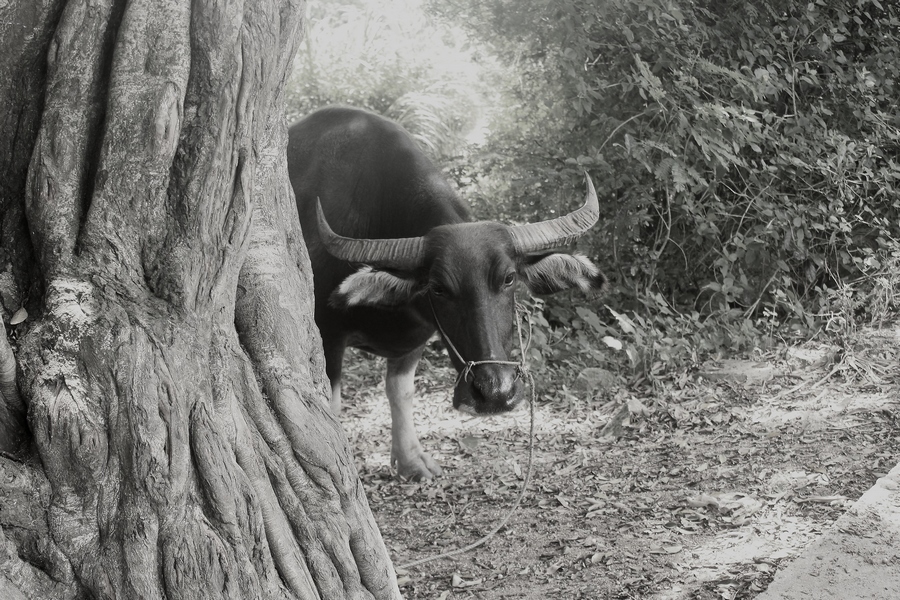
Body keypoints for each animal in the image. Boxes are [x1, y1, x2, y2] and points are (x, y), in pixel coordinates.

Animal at [288, 108, 604, 480]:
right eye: (439, 288)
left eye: (509, 278)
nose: (495, 392)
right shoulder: (328, 336)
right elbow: (330, 408)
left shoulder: (416, 340)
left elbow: (400, 391)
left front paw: (411, 461)